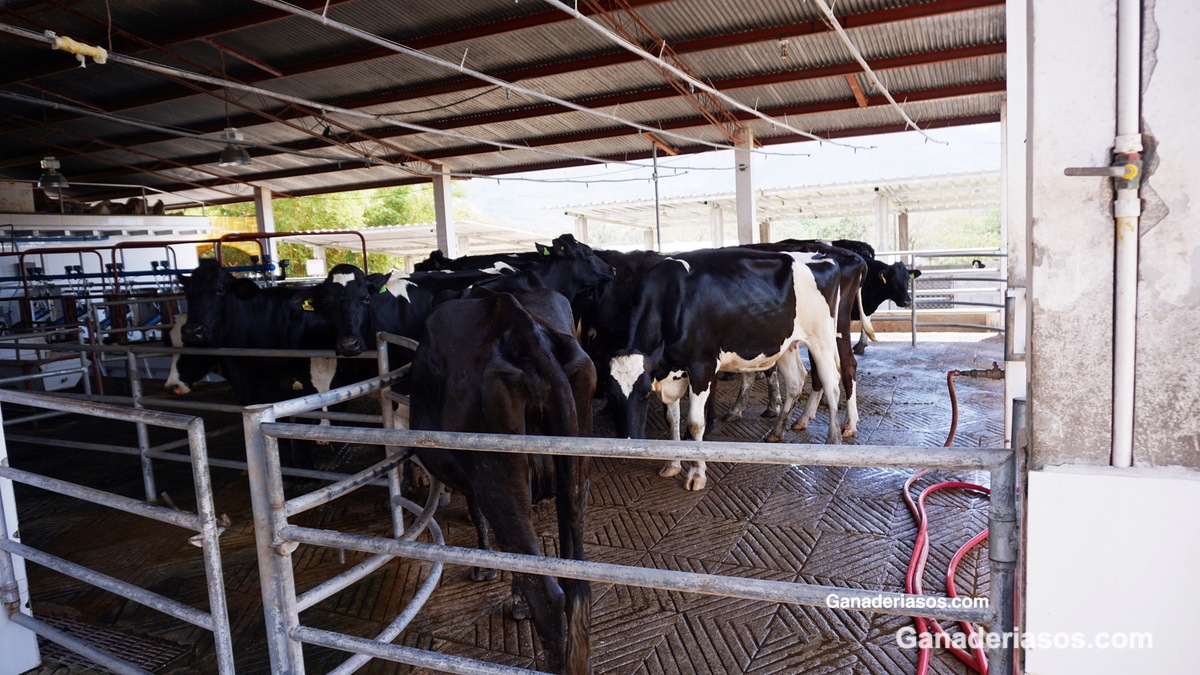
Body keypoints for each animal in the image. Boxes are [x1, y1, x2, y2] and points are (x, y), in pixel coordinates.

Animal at [412, 289, 595, 672]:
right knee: (574, 582)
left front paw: (485, 569)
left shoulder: (476, 479)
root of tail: (522, 326)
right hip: (576, 471)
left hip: (496, 478)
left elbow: (480, 517)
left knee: (549, 598)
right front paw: (516, 600)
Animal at [604, 247, 840, 487]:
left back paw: (834, 441)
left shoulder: (702, 368)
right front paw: (672, 464)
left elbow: (695, 423)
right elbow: (672, 420)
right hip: (785, 344)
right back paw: (777, 431)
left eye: (644, 395)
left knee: (832, 385)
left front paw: (696, 474)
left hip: (822, 341)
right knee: (795, 381)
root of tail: (821, 256)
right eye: (611, 396)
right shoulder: (668, 374)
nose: (627, 444)